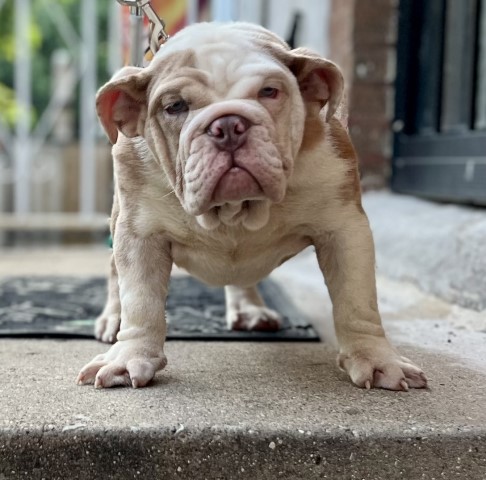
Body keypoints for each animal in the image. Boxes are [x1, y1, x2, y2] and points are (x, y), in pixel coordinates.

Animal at [76, 21, 426, 390]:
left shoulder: (345, 229)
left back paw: (250, 310)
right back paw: (113, 319)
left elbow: (357, 300)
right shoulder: (139, 234)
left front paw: (376, 358)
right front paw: (130, 357)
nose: (227, 125)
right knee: (116, 276)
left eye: (269, 91)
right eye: (174, 106)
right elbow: (140, 300)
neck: (236, 208)